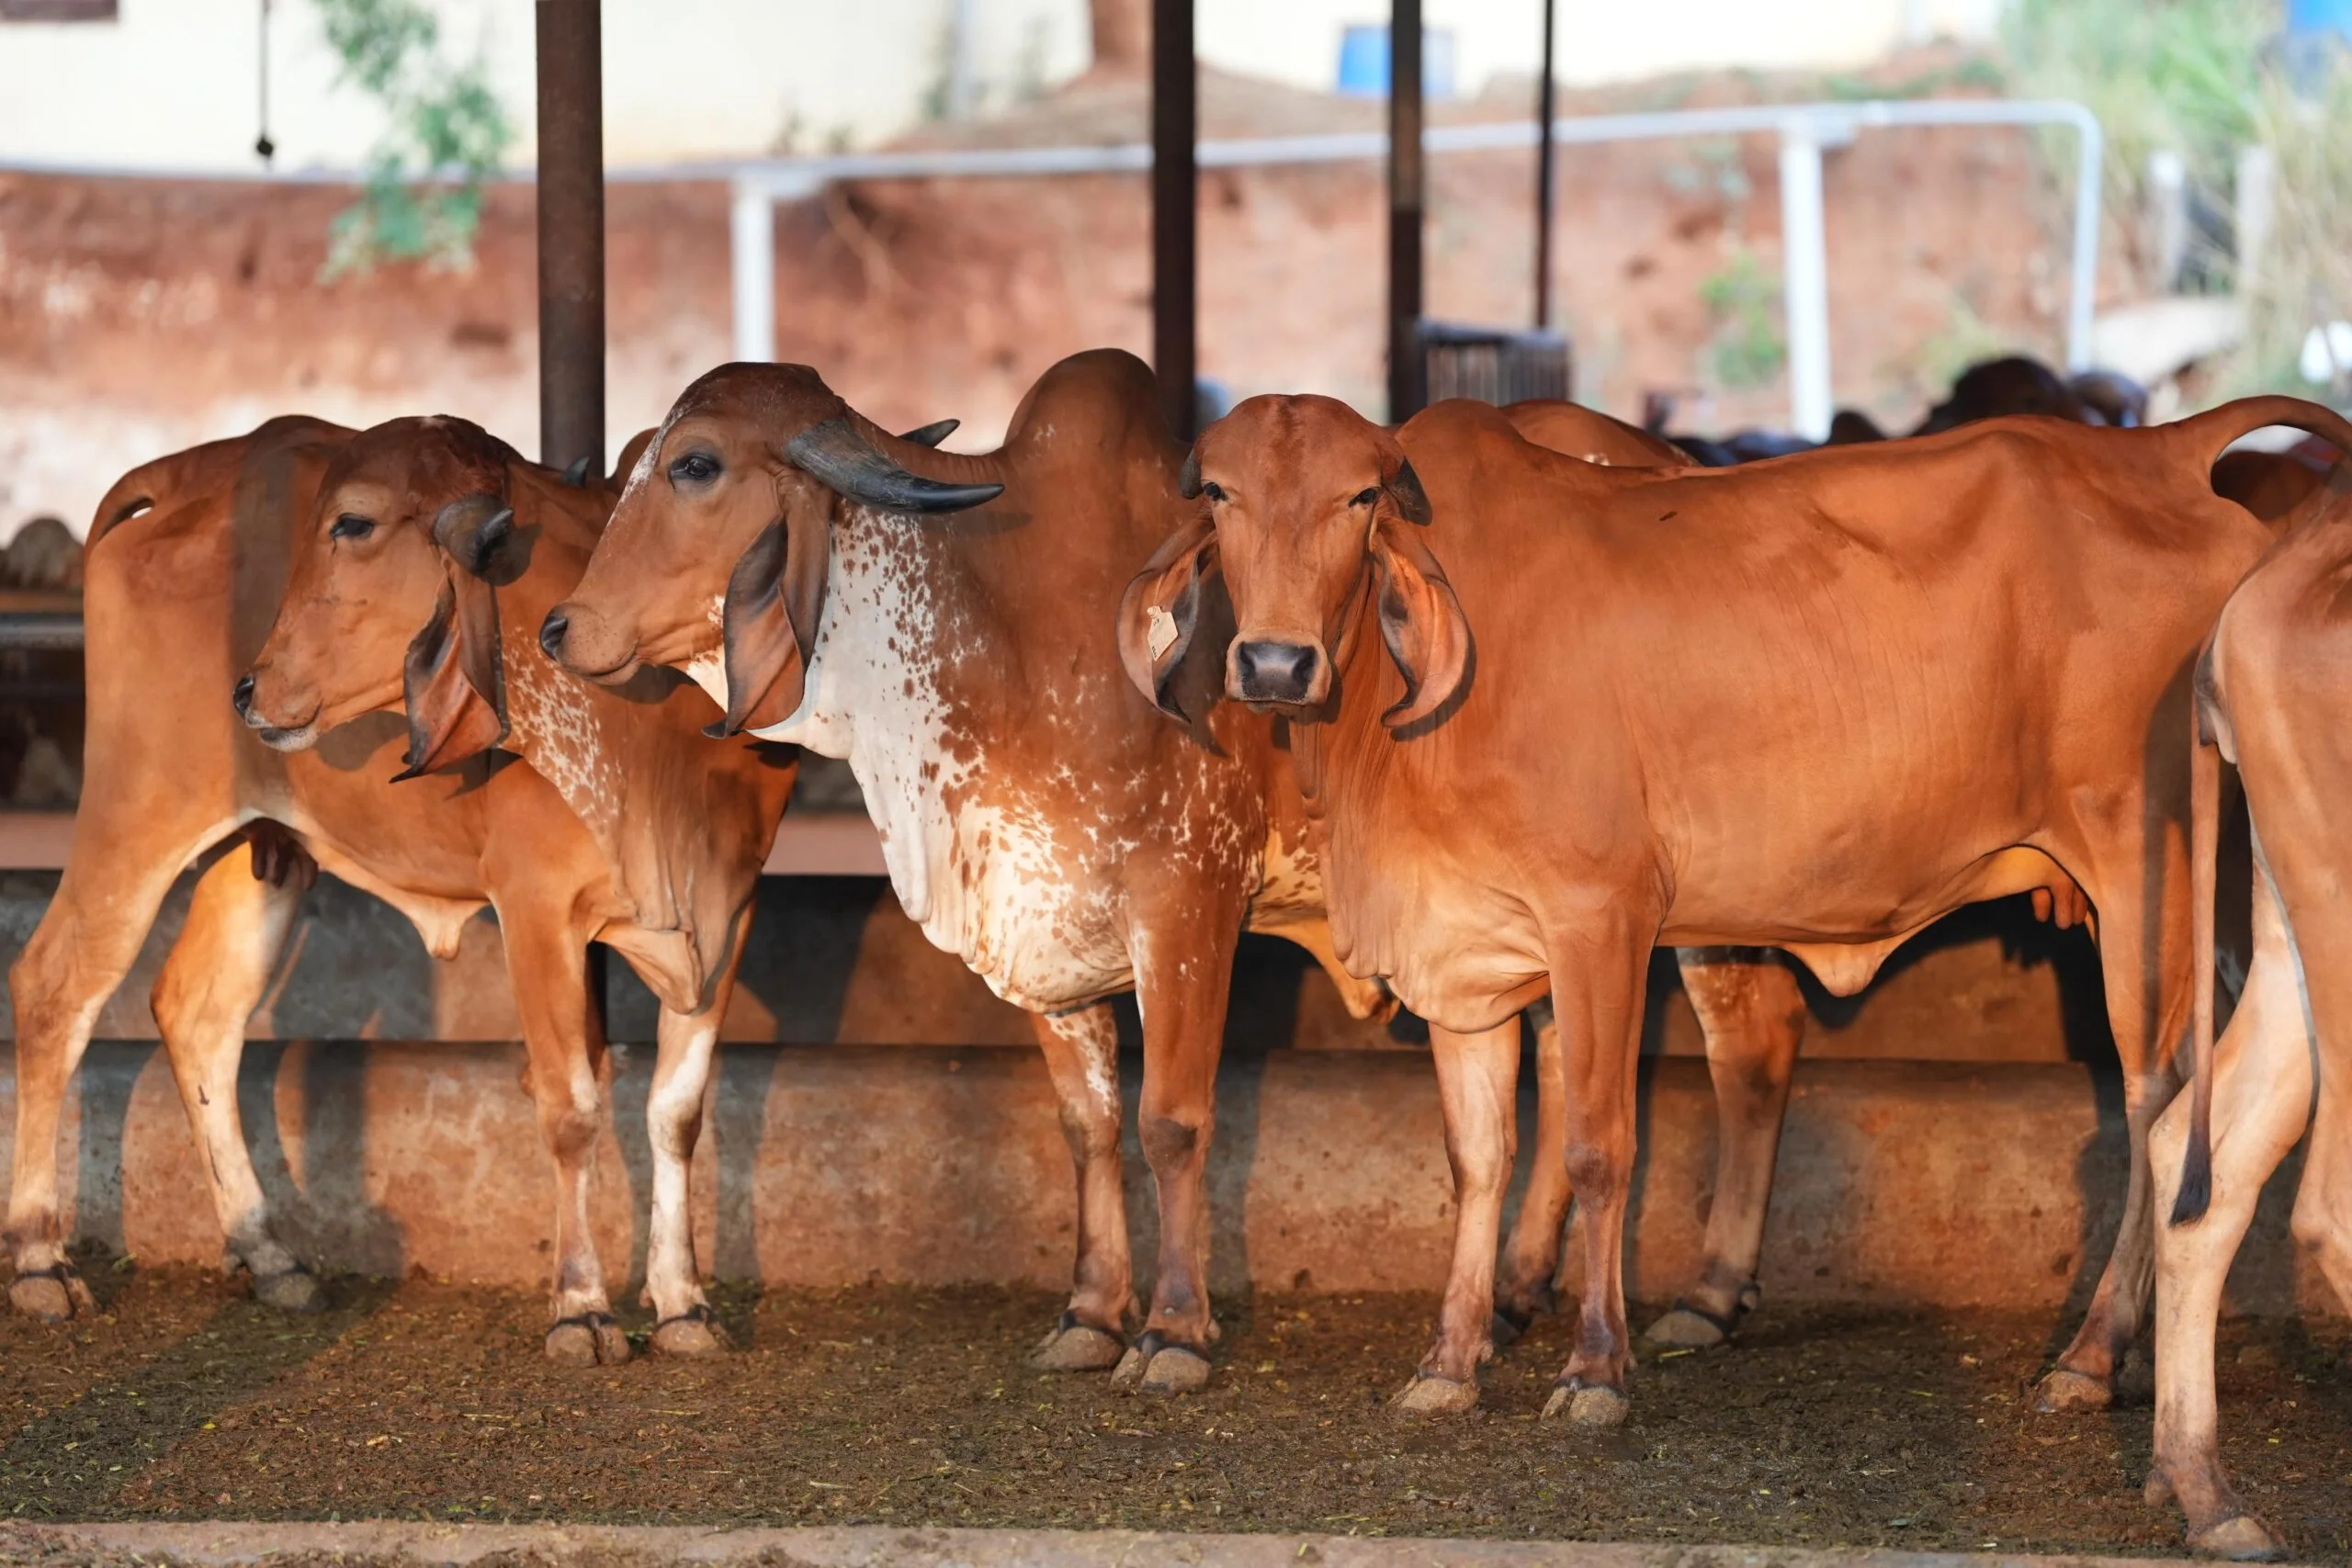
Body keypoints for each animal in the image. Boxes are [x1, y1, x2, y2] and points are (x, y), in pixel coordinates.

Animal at [7, 415, 794, 1366]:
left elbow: (678, 1112)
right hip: (138, 808)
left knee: (197, 1012)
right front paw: (581, 1307)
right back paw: (40, 1260)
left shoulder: (730, 906)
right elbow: (571, 1105)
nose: (253, 687)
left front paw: (683, 1302)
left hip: (260, 846)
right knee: (55, 987)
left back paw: (268, 1253)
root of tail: (188, 470)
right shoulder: (535, 904)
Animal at [1120, 388, 2352, 1425]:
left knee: (2161, 1100)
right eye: (1220, 493)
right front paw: (1449, 1360)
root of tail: (2160, 449)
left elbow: (1597, 1145)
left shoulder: (1602, 914)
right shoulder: (1461, 948)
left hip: (2148, 874)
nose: (1273, 665)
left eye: (1359, 498)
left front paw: (1594, 1369)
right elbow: (1477, 1156)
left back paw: (2093, 1356)